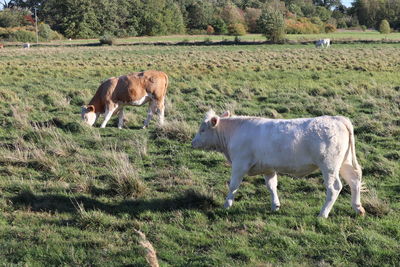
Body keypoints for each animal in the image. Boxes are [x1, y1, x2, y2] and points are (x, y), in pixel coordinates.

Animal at [191, 110, 366, 219]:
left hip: (329, 166)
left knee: (334, 188)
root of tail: (338, 118)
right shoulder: (268, 168)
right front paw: (275, 205)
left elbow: (233, 185)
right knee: (354, 180)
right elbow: (271, 186)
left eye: (202, 130)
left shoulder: (239, 164)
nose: (192, 143)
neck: (235, 131)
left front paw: (227, 204)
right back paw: (358, 207)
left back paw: (323, 213)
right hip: (345, 163)